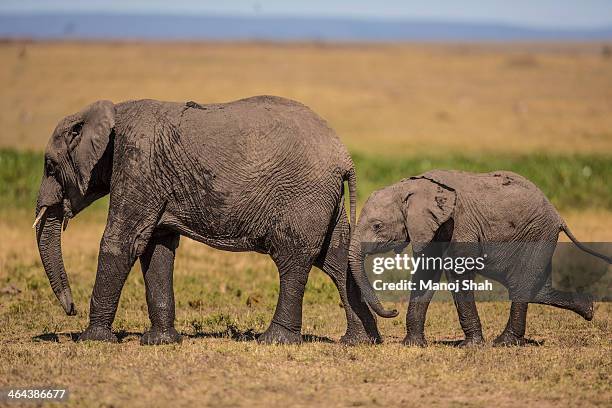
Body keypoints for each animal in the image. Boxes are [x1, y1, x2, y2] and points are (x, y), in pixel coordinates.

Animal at [33, 95, 396, 344]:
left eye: (50, 166)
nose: (70, 309)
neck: (107, 112)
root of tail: (344, 156)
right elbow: (157, 247)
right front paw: (161, 342)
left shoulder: (138, 163)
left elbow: (122, 241)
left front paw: (92, 340)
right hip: (323, 199)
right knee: (335, 259)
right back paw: (359, 342)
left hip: (302, 196)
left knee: (294, 259)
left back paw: (273, 341)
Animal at [350, 171, 612, 346]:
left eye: (377, 225)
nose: (392, 310)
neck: (413, 188)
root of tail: (558, 216)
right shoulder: (432, 228)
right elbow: (426, 271)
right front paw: (412, 345)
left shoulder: (459, 224)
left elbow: (458, 271)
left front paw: (471, 346)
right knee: (534, 288)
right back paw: (589, 308)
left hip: (538, 234)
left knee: (521, 285)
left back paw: (503, 343)